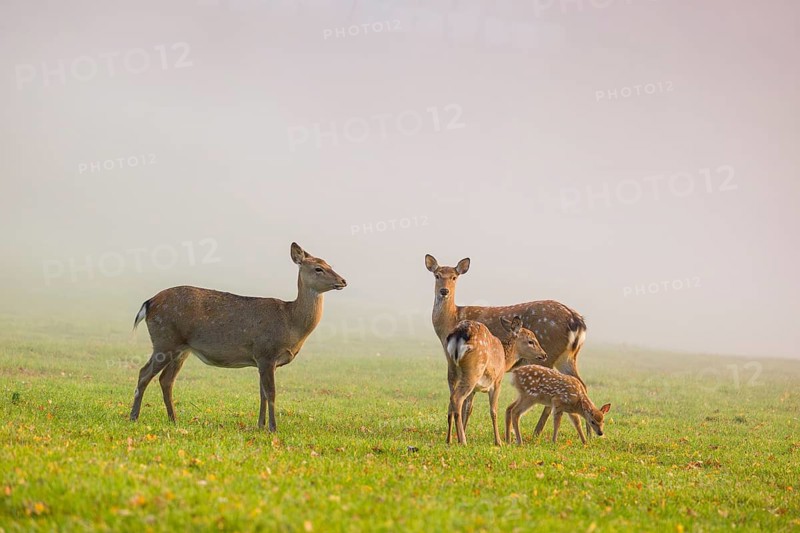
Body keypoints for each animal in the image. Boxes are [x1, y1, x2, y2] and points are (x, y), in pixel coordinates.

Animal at [129, 242, 346, 432]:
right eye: (318, 268)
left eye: (330, 265)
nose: (343, 281)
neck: (291, 323)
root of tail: (148, 303)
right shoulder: (266, 353)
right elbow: (271, 393)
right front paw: (273, 428)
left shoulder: (263, 360)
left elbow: (262, 394)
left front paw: (260, 425)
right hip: (164, 340)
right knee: (144, 373)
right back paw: (134, 416)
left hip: (182, 348)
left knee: (166, 379)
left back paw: (173, 419)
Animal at [445, 316, 547, 446]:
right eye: (531, 341)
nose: (544, 354)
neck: (505, 360)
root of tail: (460, 334)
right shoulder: (497, 381)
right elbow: (493, 411)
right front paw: (499, 441)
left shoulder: (474, 390)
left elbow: (468, 409)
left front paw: (460, 434)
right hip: (473, 371)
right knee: (456, 399)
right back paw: (463, 441)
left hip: (452, 371)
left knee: (451, 403)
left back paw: (449, 440)